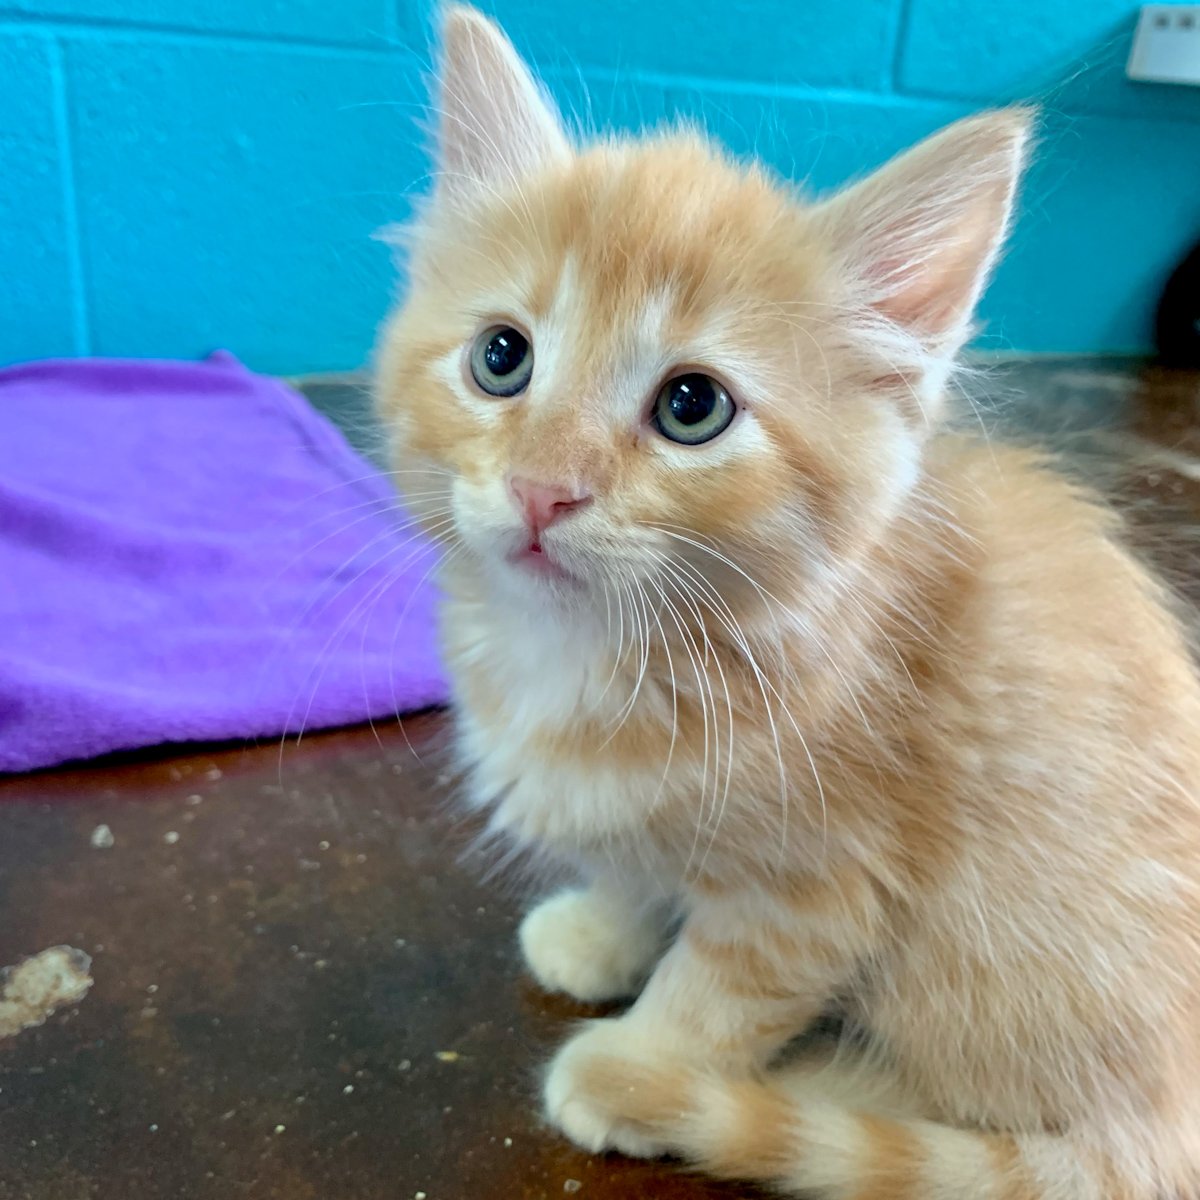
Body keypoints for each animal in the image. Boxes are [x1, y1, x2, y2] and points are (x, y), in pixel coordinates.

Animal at [374, 7, 1200, 1190]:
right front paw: (602, 932)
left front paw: (643, 1068)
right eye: (501, 357)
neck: (586, 650)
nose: (542, 490)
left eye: (691, 406)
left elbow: (721, 990)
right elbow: (629, 864)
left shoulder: (814, 892)